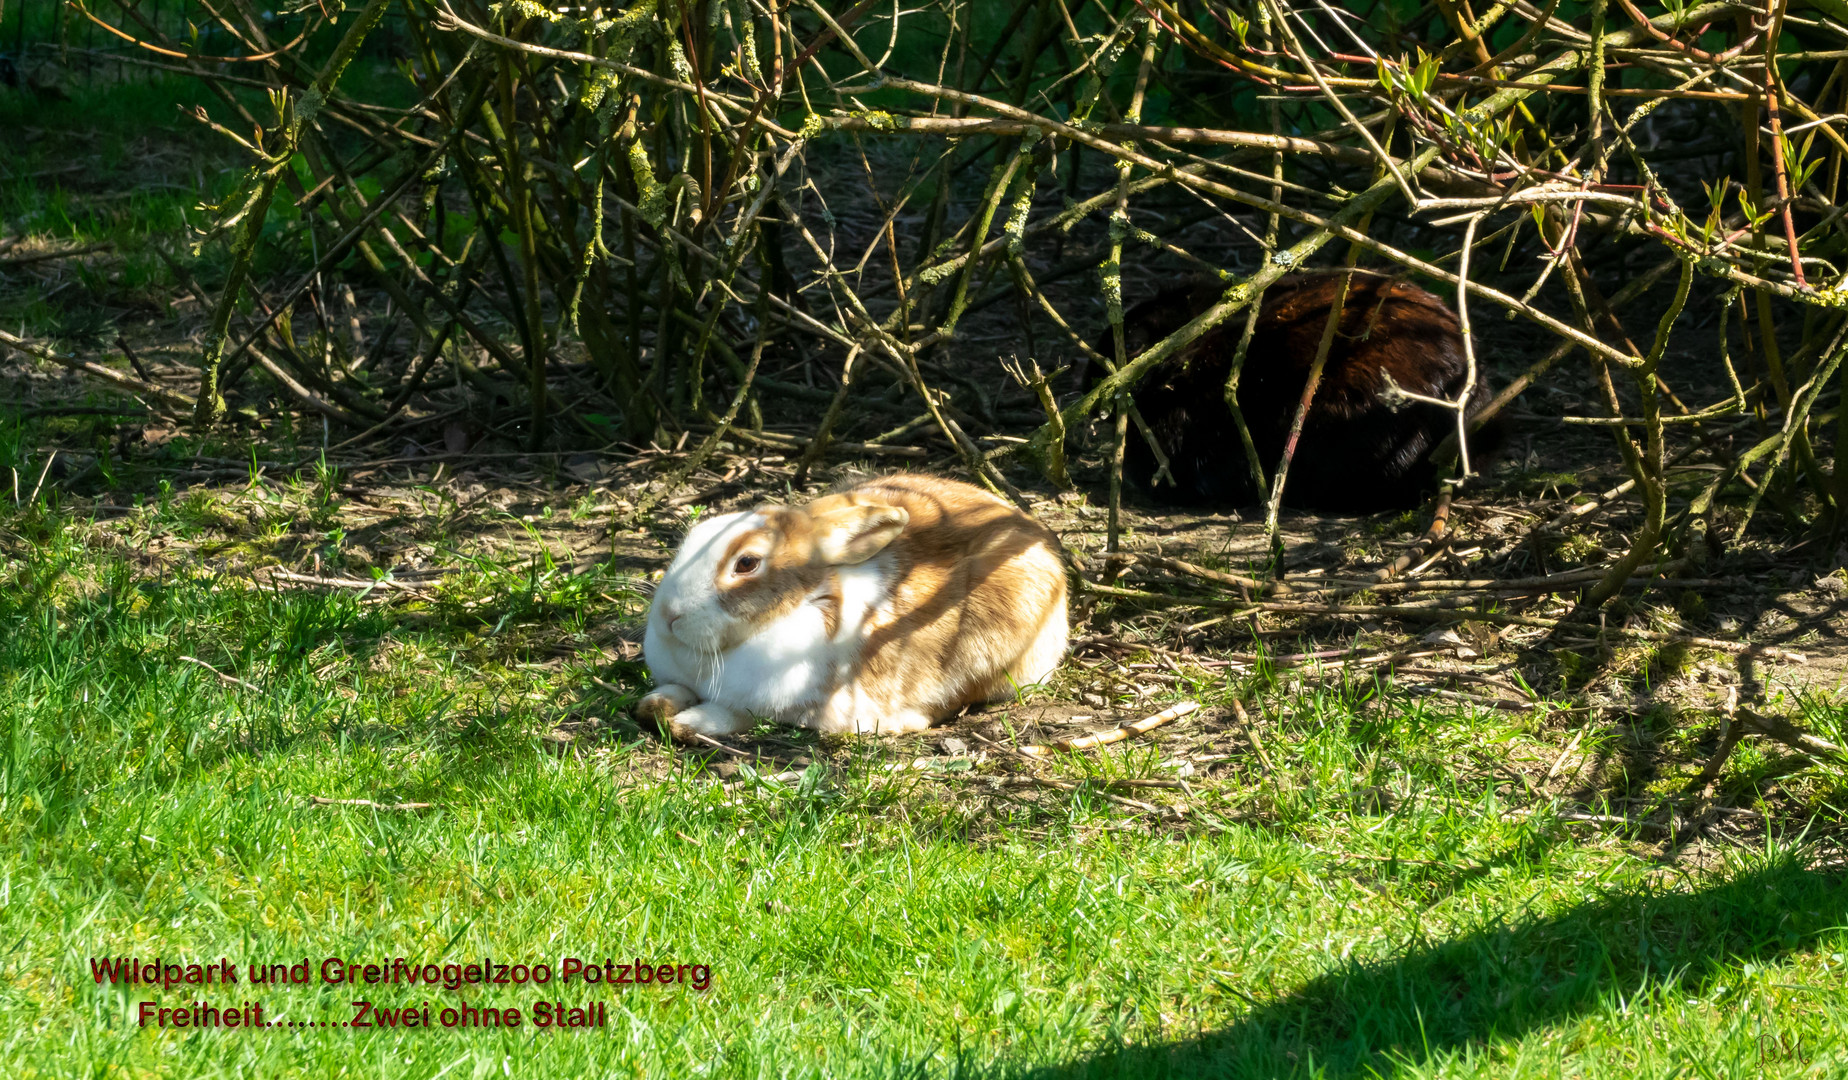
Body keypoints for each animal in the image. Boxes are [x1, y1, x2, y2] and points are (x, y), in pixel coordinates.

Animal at [639, 473, 1071, 739]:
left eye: (746, 563)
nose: (669, 616)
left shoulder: (776, 704)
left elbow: (733, 713)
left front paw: (689, 721)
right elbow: (670, 692)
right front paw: (654, 705)